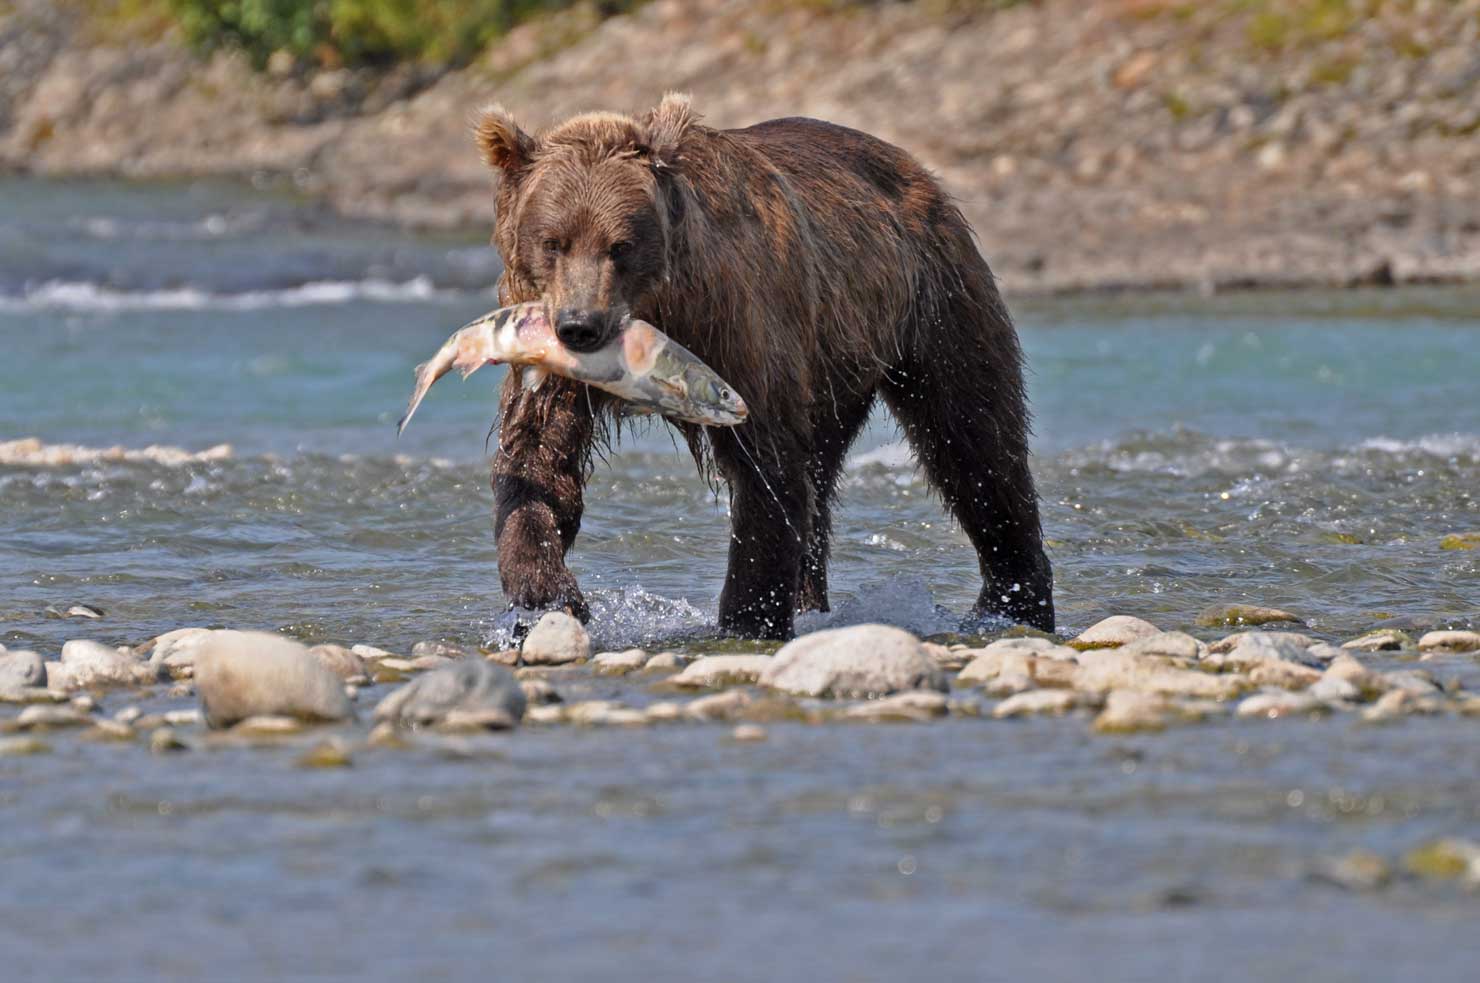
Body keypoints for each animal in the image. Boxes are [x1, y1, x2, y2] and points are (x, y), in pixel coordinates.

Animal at [474, 94, 1053, 640]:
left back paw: (1014, 601)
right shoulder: (546, 350)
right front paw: (548, 595)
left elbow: (765, 466)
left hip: (932, 298)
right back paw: (812, 601)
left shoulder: (737, 324)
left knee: (972, 437)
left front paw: (747, 616)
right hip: (835, 367)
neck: (662, 312)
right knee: (823, 476)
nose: (580, 326)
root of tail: (917, 170)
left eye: (620, 245)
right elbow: (537, 457)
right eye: (553, 241)